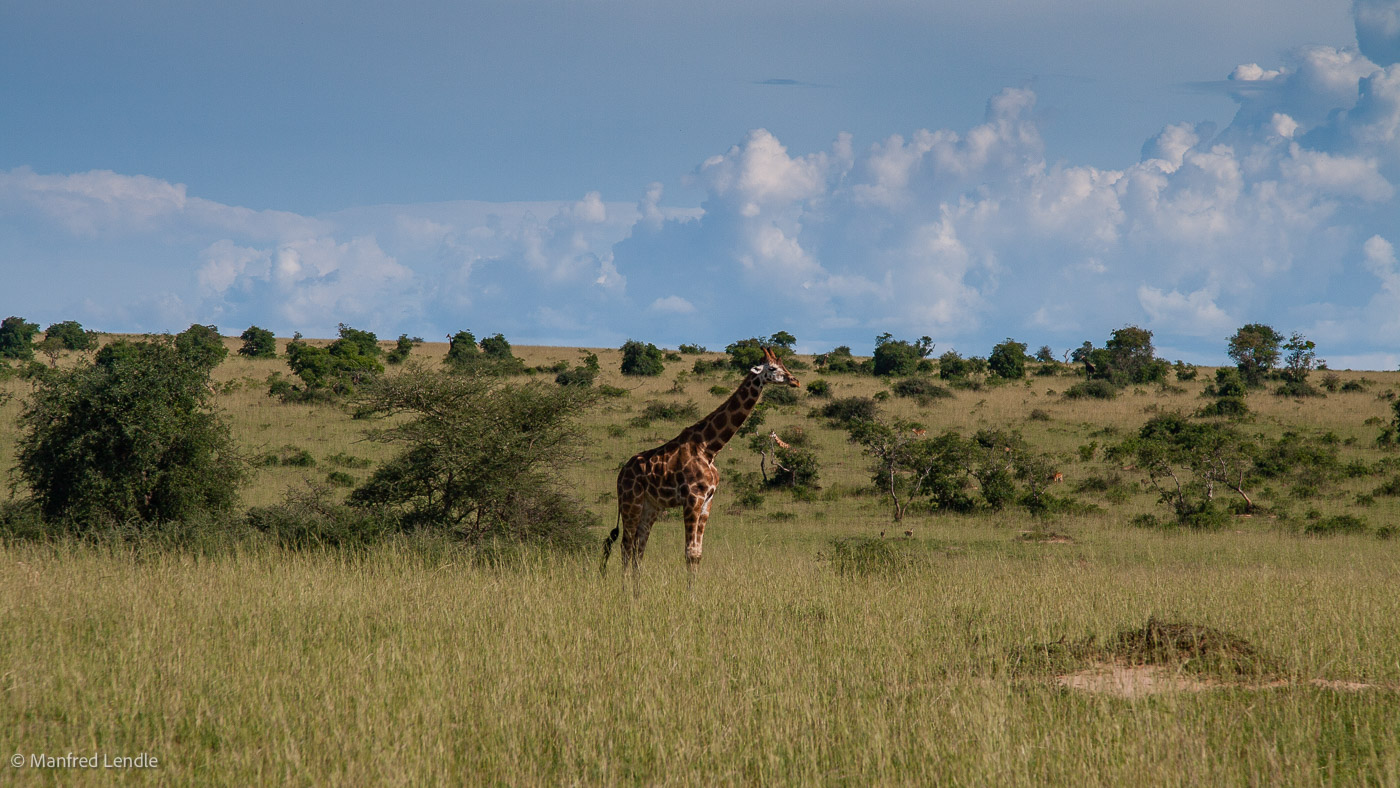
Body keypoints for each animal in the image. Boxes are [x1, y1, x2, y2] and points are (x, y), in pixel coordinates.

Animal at [599, 348, 800, 587]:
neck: (710, 448)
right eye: (773, 367)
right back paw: (624, 590)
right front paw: (690, 593)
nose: (795, 381)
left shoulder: (707, 501)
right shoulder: (692, 499)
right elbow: (689, 552)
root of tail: (621, 475)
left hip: (651, 507)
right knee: (626, 545)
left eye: (783, 364)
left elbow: (697, 553)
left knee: (639, 547)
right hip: (631, 503)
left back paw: (637, 591)